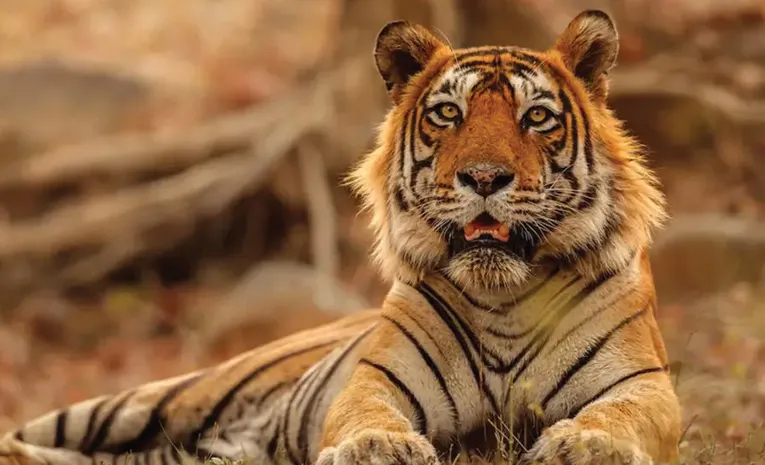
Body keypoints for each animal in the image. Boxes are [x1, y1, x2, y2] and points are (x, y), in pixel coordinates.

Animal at [0, 9, 682, 465]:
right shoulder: (377, 380)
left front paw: (587, 443)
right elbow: (365, 412)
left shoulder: (643, 383)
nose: (485, 177)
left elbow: (621, 412)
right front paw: (379, 447)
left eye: (536, 117)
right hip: (154, 398)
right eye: (448, 114)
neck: (503, 298)